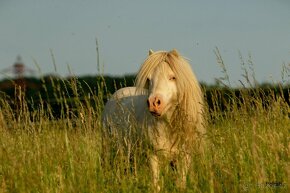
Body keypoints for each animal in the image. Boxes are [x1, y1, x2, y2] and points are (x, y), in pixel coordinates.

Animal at [103, 48, 205, 190]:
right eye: (149, 79)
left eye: (172, 77)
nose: (153, 103)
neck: (169, 126)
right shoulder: (153, 156)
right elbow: (155, 184)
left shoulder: (184, 157)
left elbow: (180, 183)